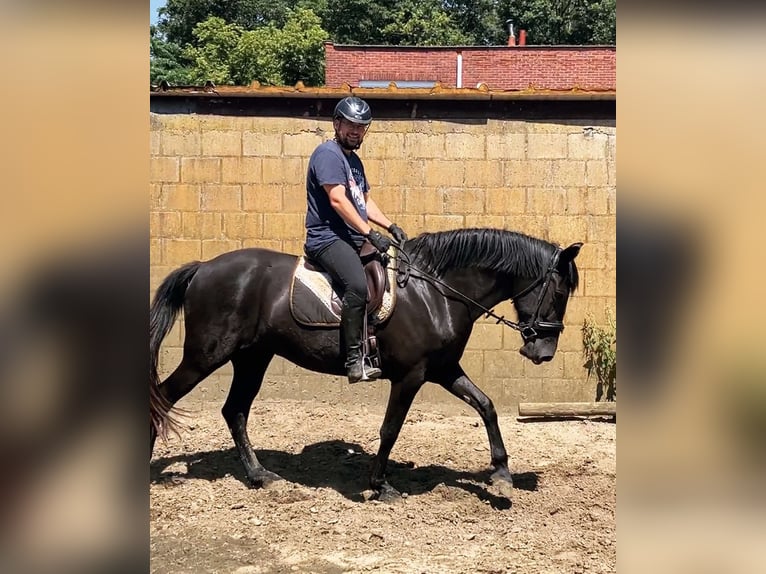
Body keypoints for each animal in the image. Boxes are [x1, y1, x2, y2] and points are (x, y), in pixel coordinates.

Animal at [148, 228, 584, 500]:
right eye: (559, 291)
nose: (544, 352)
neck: (436, 292)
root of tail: (204, 267)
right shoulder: (411, 376)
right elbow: (390, 429)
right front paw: (380, 485)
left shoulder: (443, 370)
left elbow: (487, 406)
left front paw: (502, 475)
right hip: (206, 355)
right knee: (163, 397)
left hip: (252, 357)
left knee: (235, 410)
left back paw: (261, 476)